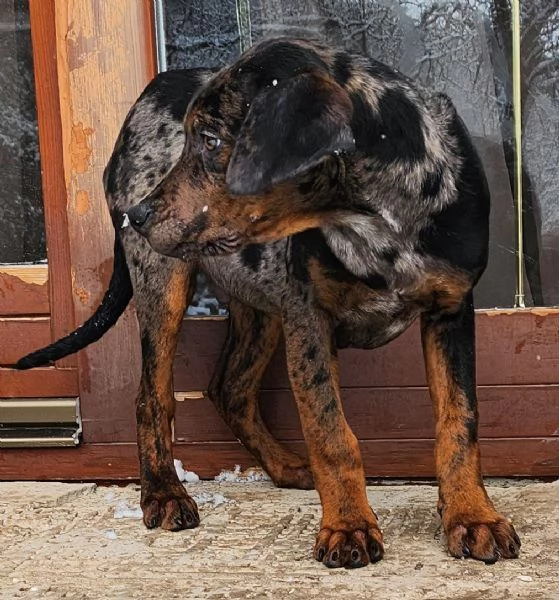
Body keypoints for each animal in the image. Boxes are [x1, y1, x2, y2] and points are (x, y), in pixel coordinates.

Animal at [18, 37, 524, 568]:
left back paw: (282, 466)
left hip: (257, 297)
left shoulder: (451, 309)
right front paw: (348, 526)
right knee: (151, 396)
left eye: (211, 140)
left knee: (230, 389)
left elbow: (459, 421)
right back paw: (164, 493)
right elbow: (330, 431)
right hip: (164, 279)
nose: (137, 215)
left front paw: (472, 515)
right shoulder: (309, 317)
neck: (376, 217)